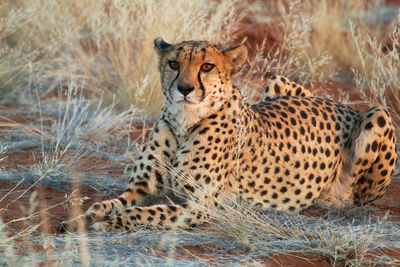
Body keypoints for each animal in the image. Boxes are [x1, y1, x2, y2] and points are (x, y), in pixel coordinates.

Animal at [56, 38, 396, 233]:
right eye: (173, 64)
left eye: (207, 66)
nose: (184, 89)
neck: (184, 123)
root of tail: (338, 103)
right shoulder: (141, 187)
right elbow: (109, 204)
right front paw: (80, 219)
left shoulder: (203, 205)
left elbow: (149, 213)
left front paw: (109, 224)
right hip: (276, 81)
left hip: (378, 114)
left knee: (357, 196)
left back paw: (329, 199)